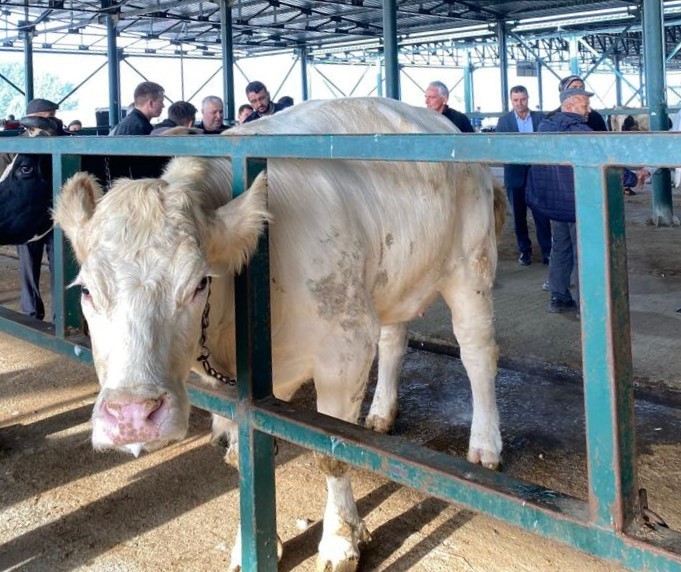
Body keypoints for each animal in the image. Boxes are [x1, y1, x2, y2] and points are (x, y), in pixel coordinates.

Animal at [54, 98, 504, 572]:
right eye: (86, 290)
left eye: (198, 283)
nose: (132, 416)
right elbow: (244, 454)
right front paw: (249, 543)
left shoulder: (345, 351)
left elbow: (331, 454)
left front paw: (340, 542)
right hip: (390, 277)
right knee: (393, 340)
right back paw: (382, 413)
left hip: (470, 267)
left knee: (477, 353)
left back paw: (485, 443)